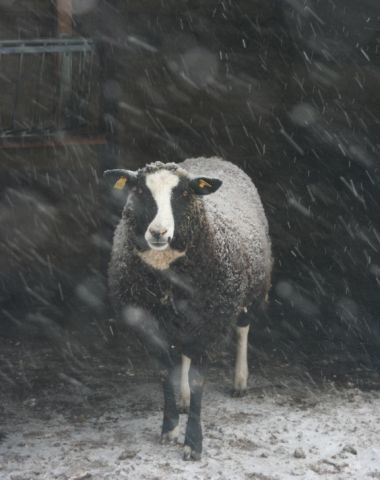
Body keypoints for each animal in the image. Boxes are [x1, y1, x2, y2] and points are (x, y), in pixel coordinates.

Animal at [105, 158, 272, 462]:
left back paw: (239, 382)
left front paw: (193, 443)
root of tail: (215, 157)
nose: (158, 232)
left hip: (252, 289)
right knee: (184, 353)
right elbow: (165, 372)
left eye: (183, 193)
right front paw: (170, 427)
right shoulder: (148, 324)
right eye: (140, 191)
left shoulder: (208, 322)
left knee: (243, 330)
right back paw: (183, 399)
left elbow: (198, 381)